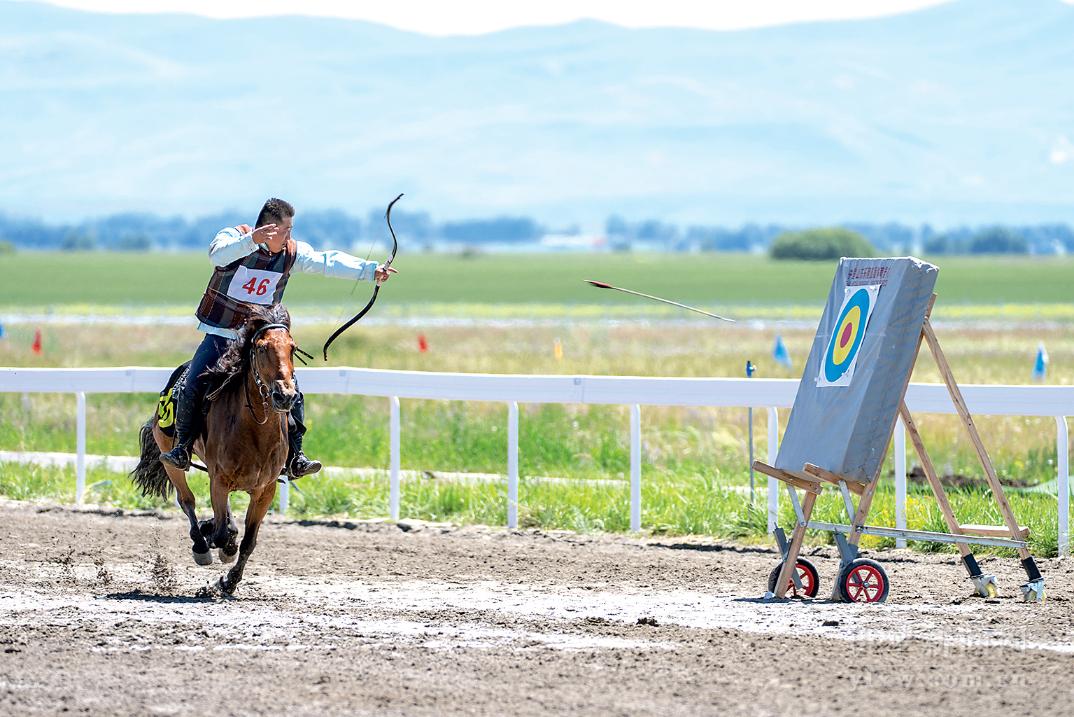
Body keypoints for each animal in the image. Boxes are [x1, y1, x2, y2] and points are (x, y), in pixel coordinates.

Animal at [134, 302, 302, 592]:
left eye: (291, 347)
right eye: (261, 348)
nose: (285, 396)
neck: (255, 431)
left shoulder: (265, 489)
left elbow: (248, 542)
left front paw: (228, 582)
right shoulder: (219, 481)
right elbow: (223, 533)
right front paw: (215, 539)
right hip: (172, 460)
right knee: (186, 499)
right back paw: (202, 544)